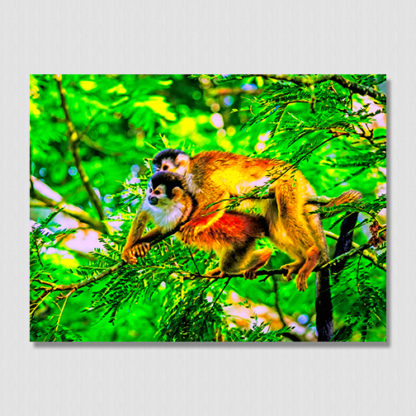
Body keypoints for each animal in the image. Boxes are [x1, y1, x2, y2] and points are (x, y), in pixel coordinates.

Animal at [122, 172, 272, 280]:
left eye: (157, 192)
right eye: (150, 190)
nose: (149, 196)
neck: (167, 205)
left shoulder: (184, 206)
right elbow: (145, 217)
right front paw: (134, 247)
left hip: (244, 242)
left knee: (230, 267)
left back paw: (263, 257)